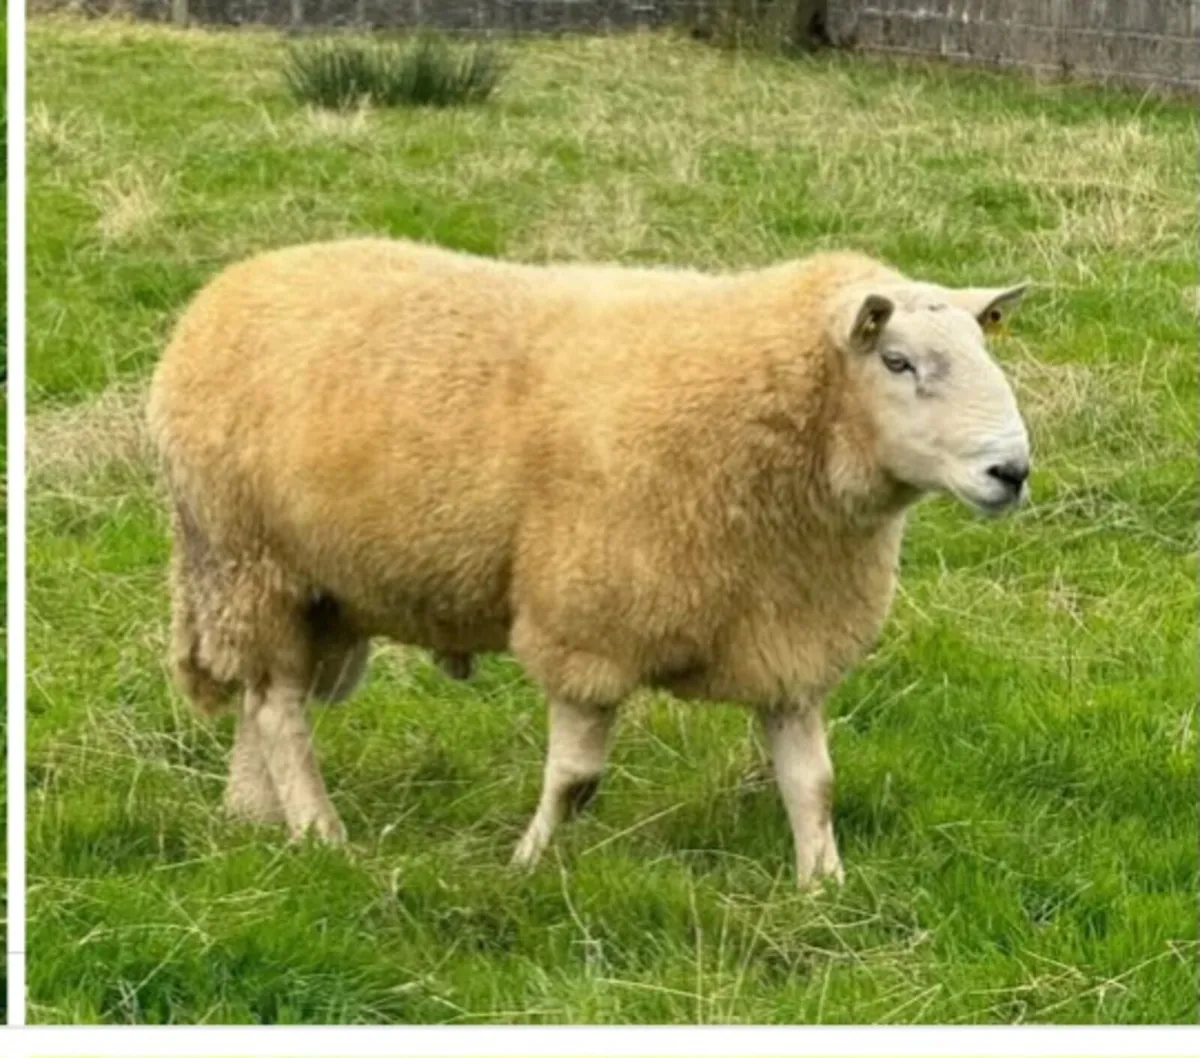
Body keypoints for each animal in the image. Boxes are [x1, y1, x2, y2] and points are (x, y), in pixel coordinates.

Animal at [146, 237, 1030, 887]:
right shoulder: (588, 624)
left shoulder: (784, 636)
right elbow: (576, 780)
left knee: (263, 699)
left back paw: (252, 816)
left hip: (317, 591)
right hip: (247, 560)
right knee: (279, 709)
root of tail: (221, 290)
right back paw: (320, 832)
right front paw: (528, 866)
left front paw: (824, 887)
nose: (1012, 471)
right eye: (898, 362)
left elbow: (813, 781)